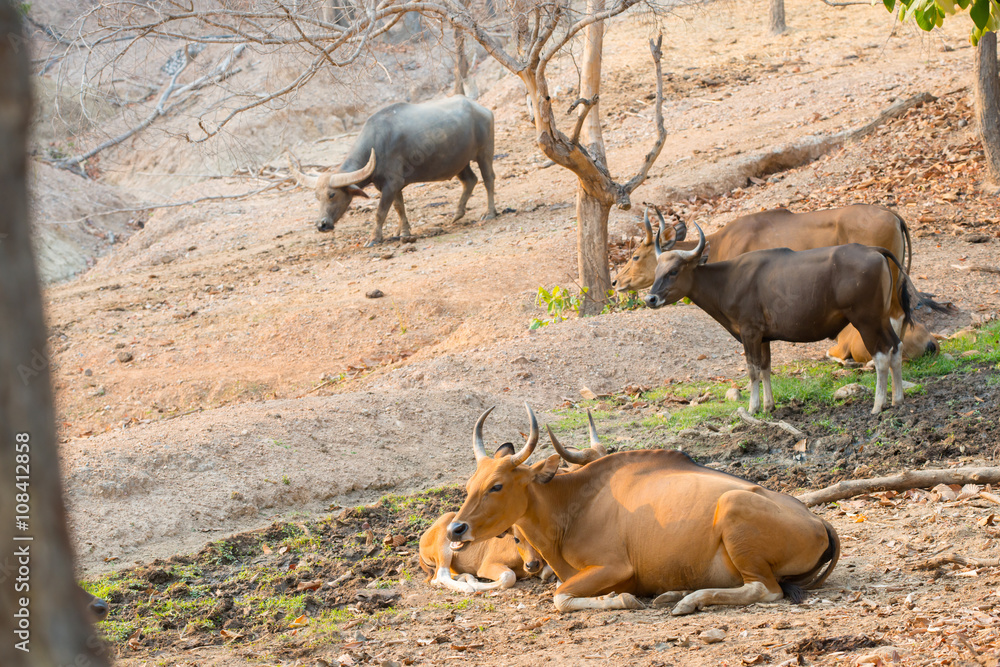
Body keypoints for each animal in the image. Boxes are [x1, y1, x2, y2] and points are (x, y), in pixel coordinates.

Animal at [290, 96, 496, 245]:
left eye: (332, 195)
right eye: (317, 196)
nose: (321, 225)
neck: (377, 143)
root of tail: (483, 110)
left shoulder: (391, 185)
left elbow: (380, 212)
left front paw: (374, 238)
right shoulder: (393, 186)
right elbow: (399, 207)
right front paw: (402, 231)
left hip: (484, 152)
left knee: (488, 179)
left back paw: (490, 213)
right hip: (460, 162)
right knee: (470, 180)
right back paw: (457, 214)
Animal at [446, 404, 836, 612]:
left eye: (497, 485)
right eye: (470, 484)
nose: (455, 529)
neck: (573, 504)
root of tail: (819, 523)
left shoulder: (615, 567)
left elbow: (560, 597)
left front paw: (622, 600)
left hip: (733, 506)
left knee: (765, 590)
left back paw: (689, 600)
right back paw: (673, 593)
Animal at [644, 219, 916, 414]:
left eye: (674, 271)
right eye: (656, 271)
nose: (650, 299)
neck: (727, 281)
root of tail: (873, 250)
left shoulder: (750, 332)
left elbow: (752, 370)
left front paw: (753, 408)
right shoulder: (763, 337)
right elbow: (765, 369)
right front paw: (769, 406)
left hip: (866, 320)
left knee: (881, 355)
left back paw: (878, 405)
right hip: (881, 319)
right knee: (896, 346)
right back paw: (898, 399)